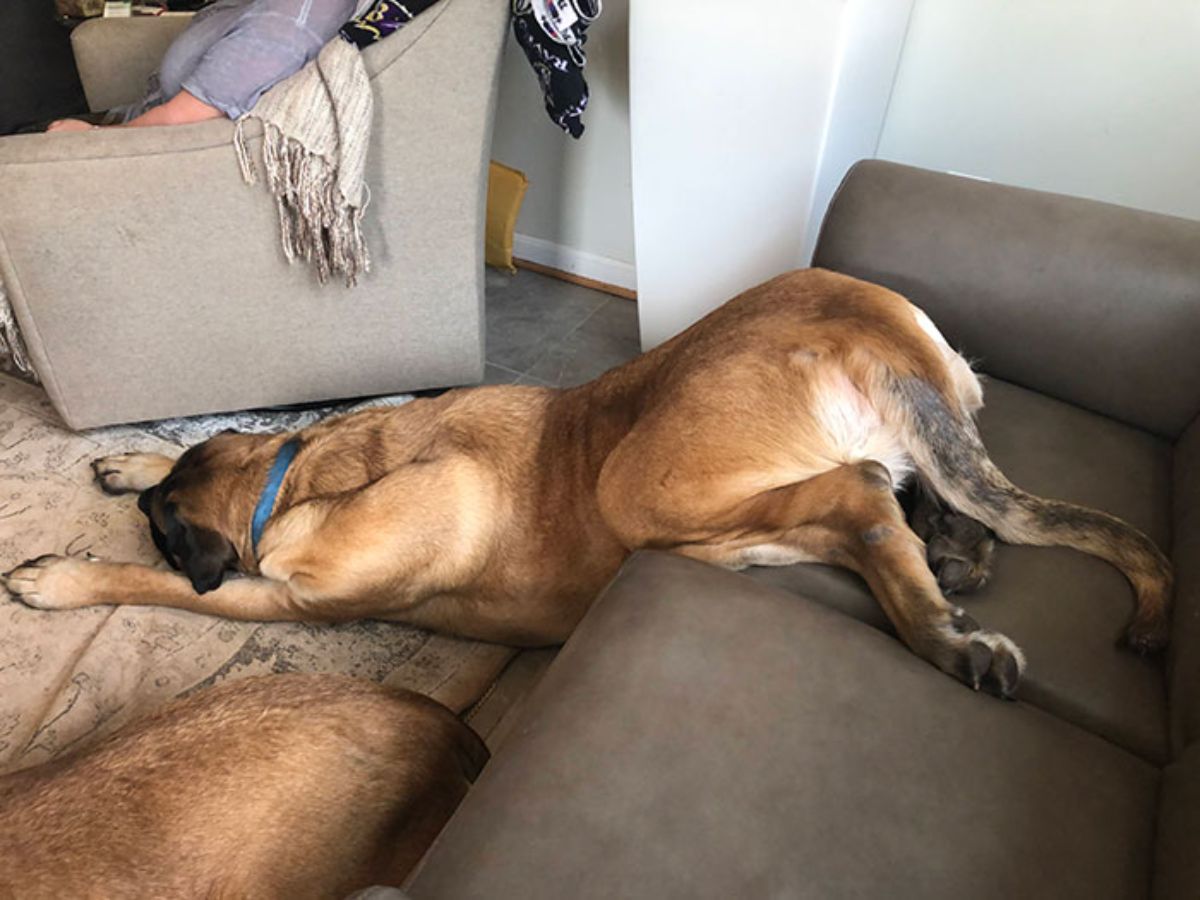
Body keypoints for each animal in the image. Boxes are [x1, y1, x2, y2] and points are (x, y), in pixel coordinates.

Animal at [4, 267, 1176, 696]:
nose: (136, 497)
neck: (302, 481)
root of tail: (864, 319)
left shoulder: (294, 599)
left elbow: (164, 587)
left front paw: (61, 576)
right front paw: (132, 457)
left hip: (638, 487)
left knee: (856, 495)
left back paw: (942, 634)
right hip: (736, 517)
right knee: (890, 502)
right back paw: (952, 565)